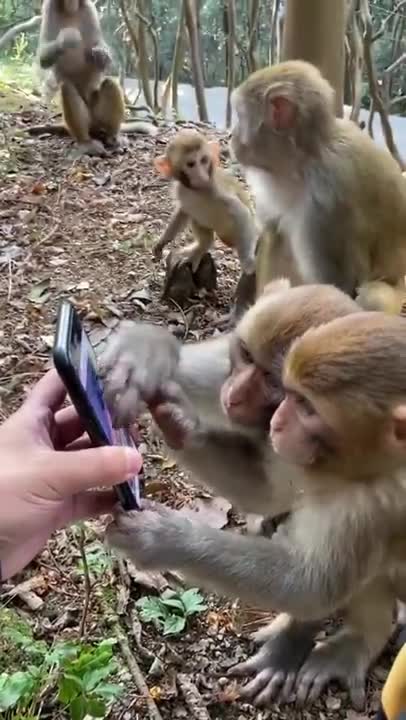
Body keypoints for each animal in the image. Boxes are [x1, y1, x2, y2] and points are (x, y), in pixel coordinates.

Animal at [37, 0, 125, 156]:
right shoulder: (49, 7)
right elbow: (43, 56)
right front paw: (66, 38)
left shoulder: (89, 8)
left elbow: (98, 46)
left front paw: (102, 55)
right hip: (88, 120)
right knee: (67, 88)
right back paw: (86, 142)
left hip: (97, 114)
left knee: (110, 83)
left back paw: (112, 136)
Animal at [101, 281, 399, 709]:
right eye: (244, 355)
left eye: (272, 382)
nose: (237, 394)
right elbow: (263, 490)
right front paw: (145, 355)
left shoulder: (355, 487)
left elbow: (312, 580)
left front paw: (165, 539)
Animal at [152, 130, 259, 319]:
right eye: (191, 164)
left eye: (203, 160)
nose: (201, 175)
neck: (199, 191)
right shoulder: (182, 190)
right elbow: (183, 212)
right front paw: (162, 242)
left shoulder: (219, 192)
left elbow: (241, 214)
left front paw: (247, 262)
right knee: (197, 219)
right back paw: (200, 247)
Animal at [230, 60, 406, 307]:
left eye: (240, 116)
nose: (232, 136)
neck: (306, 160)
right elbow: (269, 225)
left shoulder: (325, 210)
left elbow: (339, 287)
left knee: (370, 298)